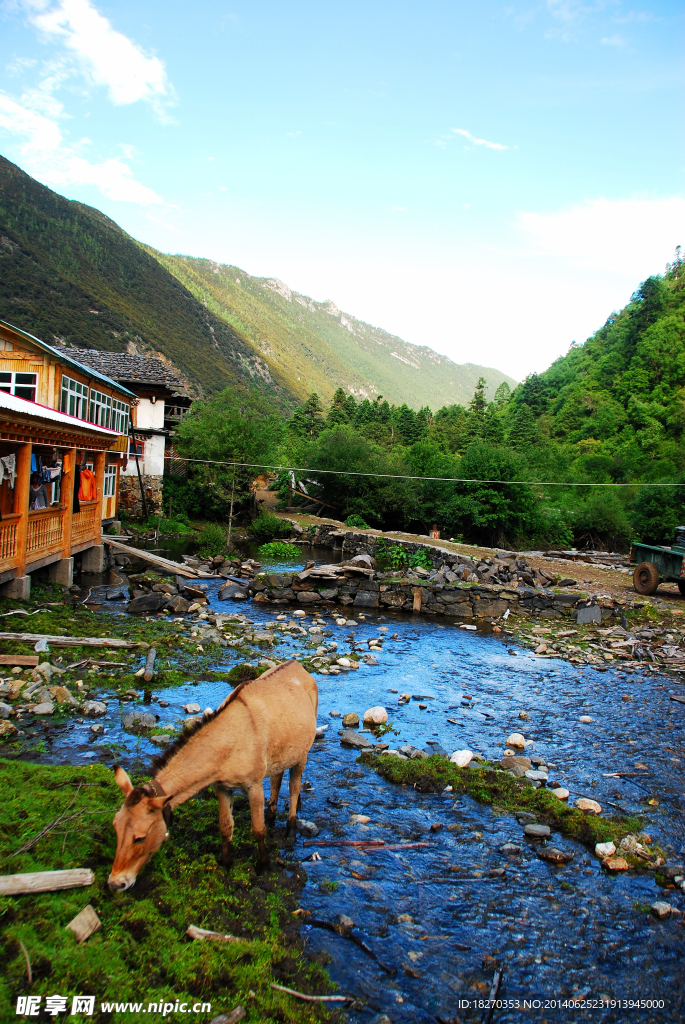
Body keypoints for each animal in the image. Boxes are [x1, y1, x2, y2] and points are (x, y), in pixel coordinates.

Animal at [106, 663, 317, 888]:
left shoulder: (253, 785)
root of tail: (299, 667)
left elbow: (257, 829)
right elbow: (225, 826)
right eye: (116, 827)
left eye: (140, 837)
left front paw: (264, 866)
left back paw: (291, 830)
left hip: (302, 754)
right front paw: (226, 864)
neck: (229, 743)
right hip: (282, 753)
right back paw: (271, 816)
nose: (115, 883)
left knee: (294, 786)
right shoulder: (222, 786)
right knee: (277, 779)